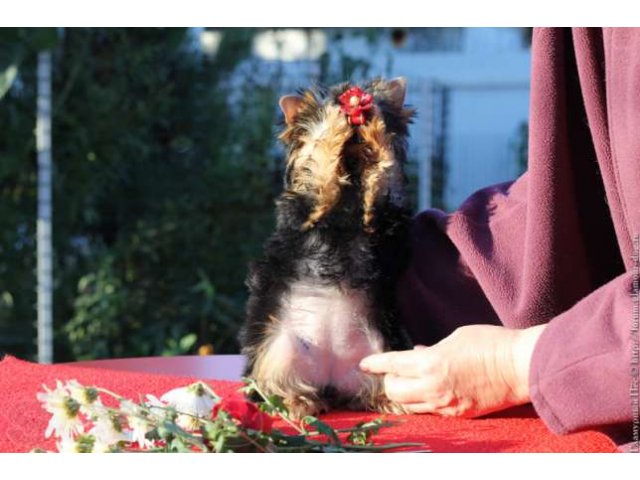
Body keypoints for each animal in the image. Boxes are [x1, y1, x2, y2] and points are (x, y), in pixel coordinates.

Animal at [240, 77, 416, 418]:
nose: (354, 112)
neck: (352, 177)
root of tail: (330, 379)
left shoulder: (385, 210)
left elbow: (383, 176)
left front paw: (375, 131)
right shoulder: (307, 209)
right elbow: (321, 170)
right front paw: (331, 129)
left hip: (383, 352)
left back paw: (386, 399)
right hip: (280, 347)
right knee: (276, 378)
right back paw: (296, 400)